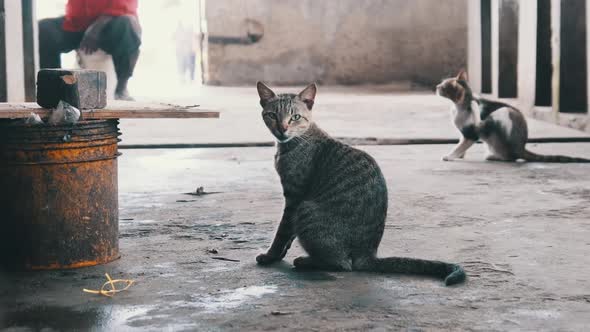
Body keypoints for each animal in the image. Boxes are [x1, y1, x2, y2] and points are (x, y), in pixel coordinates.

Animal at [254, 82, 468, 286]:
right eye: (272, 115)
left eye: (295, 117)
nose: (282, 129)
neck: (295, 141)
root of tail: (369, 254)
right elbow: (288, 234)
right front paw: (280, 253)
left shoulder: (294, 198)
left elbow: (282, 232)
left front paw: (271, 255)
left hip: (305, 210)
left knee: (342, 264)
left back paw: (306, 261)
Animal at [438, 70, 590, 163]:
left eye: (444, 86)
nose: (437, 86)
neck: (458, 107)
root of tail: (521, 148)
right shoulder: (464, 132)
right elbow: (460, 142)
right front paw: (460, 155)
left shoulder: (472, 132)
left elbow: (462, 144)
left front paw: (450, 156)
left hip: (504, 112)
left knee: (510, 157)